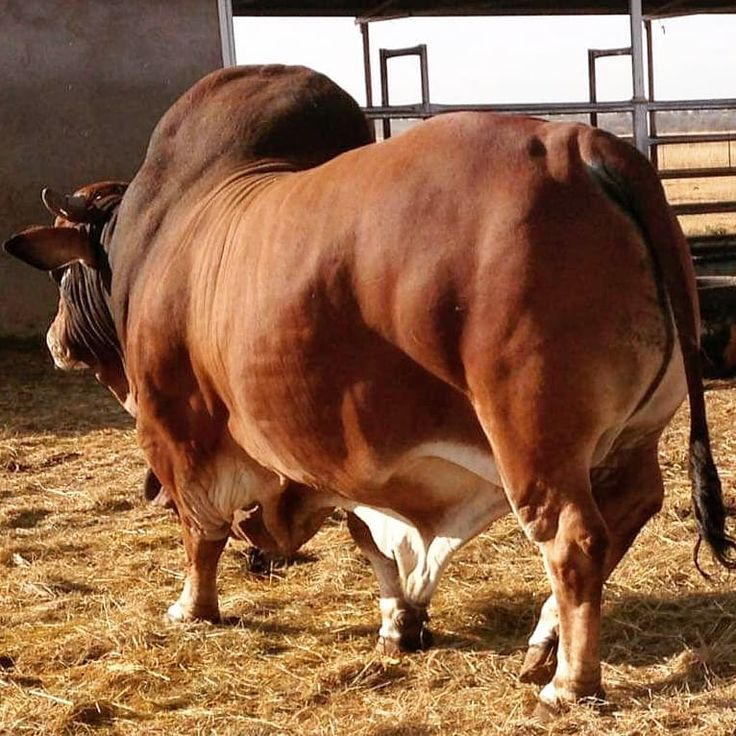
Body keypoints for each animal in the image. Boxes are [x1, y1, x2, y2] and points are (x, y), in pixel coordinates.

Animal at [5, 64, 736, 715]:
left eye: (63, 275)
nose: (56, 339)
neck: (162, 236)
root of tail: (589, 147)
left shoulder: (176, 426)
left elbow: (200, 531)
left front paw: (192, 607)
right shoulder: (344, 453)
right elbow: (368, 534)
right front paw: (399, 622)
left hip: (533, 438)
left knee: (575, 539)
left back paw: (569, 683)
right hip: (634, 434)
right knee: (631, 510)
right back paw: (541, 645)